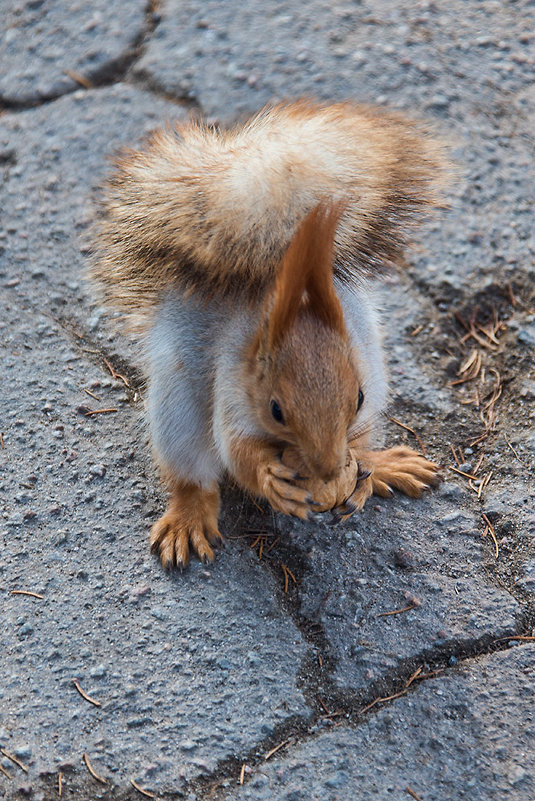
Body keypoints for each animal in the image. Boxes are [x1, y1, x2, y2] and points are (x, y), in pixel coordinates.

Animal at [92, 98, 448, 568]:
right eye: (276, 410)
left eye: (357, 398)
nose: (329, 469)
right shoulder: (233, 385)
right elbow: (238, 454)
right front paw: (270, 480)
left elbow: (354, 440)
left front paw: (361, 475)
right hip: (176, 410)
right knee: (192, 475)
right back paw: (188, 516)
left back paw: (384, 464)